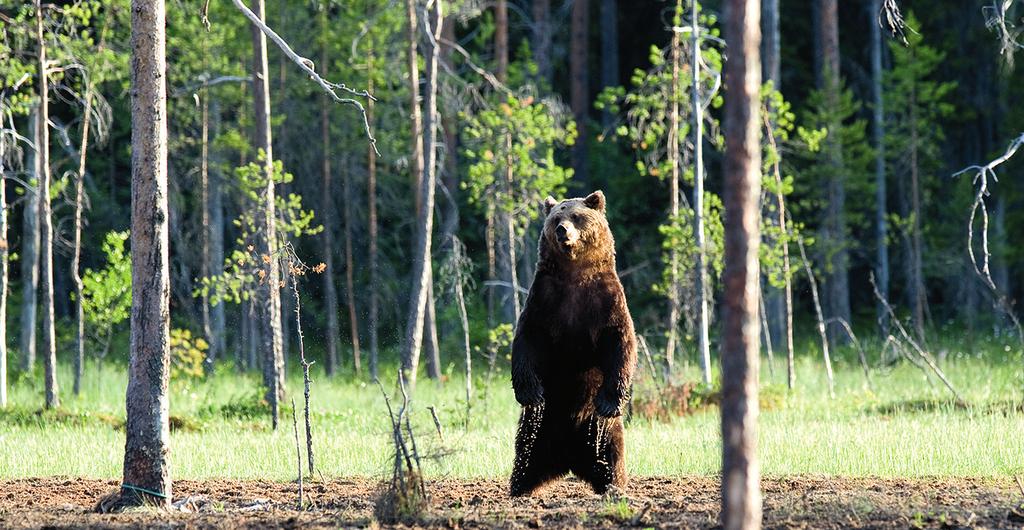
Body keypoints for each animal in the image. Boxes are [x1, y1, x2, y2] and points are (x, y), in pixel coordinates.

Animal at [507, 191, 634, 499]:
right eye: (556, 218)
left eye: (576, 216)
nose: (562, 230)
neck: (575, 274)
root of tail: (569, 459)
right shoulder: (545, 300)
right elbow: (527, 339)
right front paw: (530, 392)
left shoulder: (606, 301)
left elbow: (620, 341)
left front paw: (610, 401)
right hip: (539, 428)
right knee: (526, 456)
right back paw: (519, 490)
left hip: (599, 430)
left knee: (612, 453)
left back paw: (614, 487)